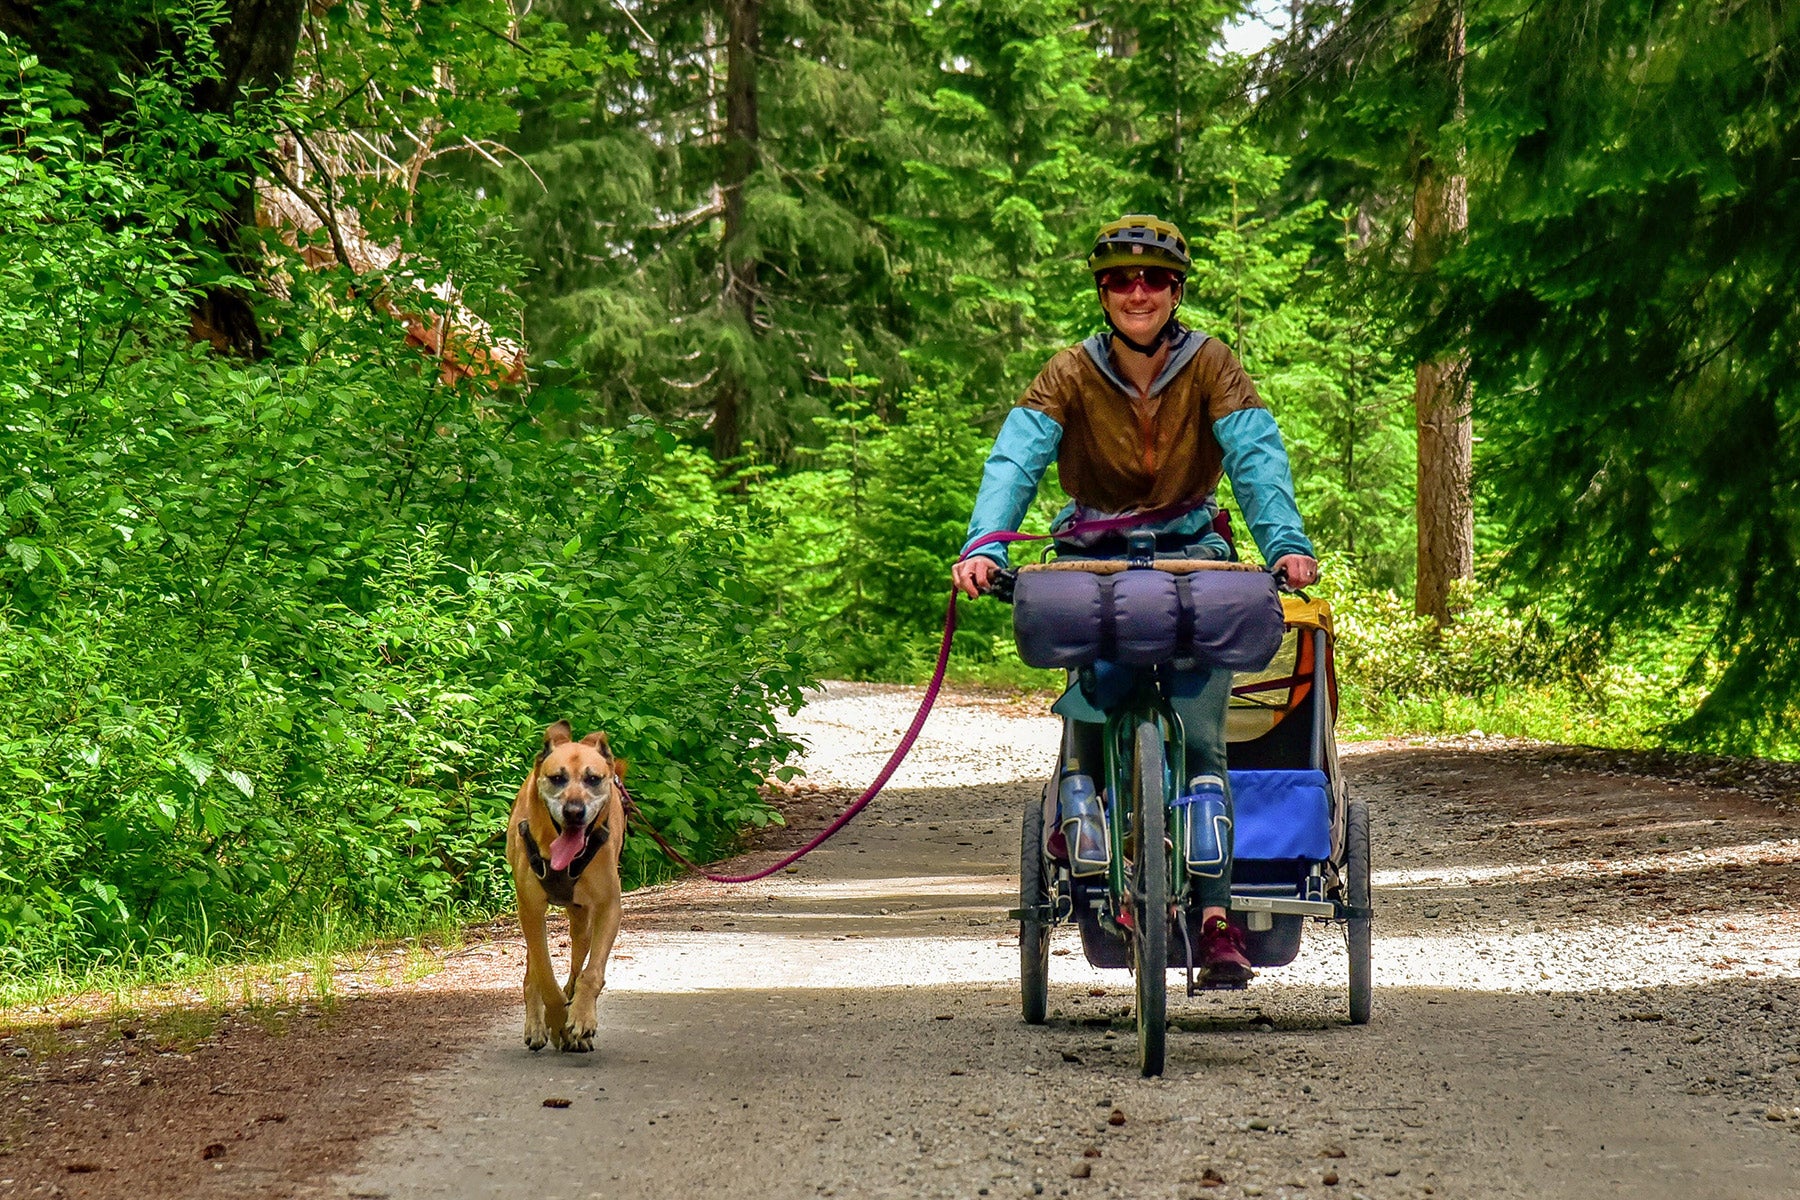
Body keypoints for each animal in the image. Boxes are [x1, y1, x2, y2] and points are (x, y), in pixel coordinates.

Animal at [507, 723, 626, 1050]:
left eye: (593, 778)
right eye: (557, 778)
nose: (574, 811)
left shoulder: (609, 907)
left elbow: (591, 972)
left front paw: (581, 1019)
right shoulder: (531, 910)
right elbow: (545, 976)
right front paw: (558, 1021)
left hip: (582, 921)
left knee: (576, 964)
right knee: (532, 972)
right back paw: (538, 1024)